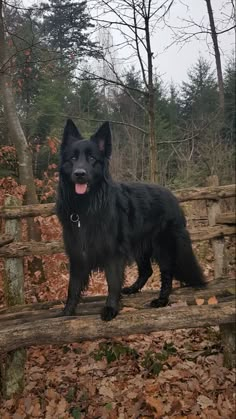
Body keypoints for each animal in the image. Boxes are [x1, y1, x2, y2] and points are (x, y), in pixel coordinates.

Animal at [56, 120, 206, 324]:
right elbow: (73, 287)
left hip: (163, 246)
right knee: (147, 271)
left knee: (167, 273)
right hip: (141, 247)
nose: (80, 173)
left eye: (92, 159)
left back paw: (161, 299)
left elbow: (112, 283)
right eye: (72, 158)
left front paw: (111, 308)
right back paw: (134, 289)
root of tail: (173, 197)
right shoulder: (78, 254)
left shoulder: (113, 254)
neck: (87, 206)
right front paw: (67, 312)